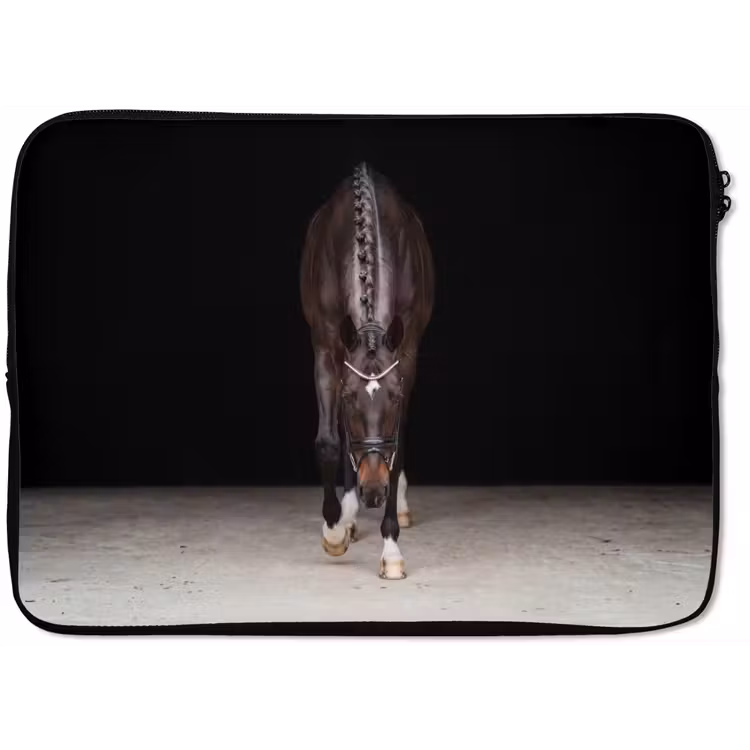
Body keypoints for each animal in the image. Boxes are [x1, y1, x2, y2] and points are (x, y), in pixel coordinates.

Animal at [300, 162, 435, 579]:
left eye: (393, 397)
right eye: (348, 398)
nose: (373, 492)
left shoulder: (406, 355)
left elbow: (397, 447)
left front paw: (391, 549)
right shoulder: (327, 350)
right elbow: (329, 442)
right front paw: (334, 529)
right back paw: (348, 514)